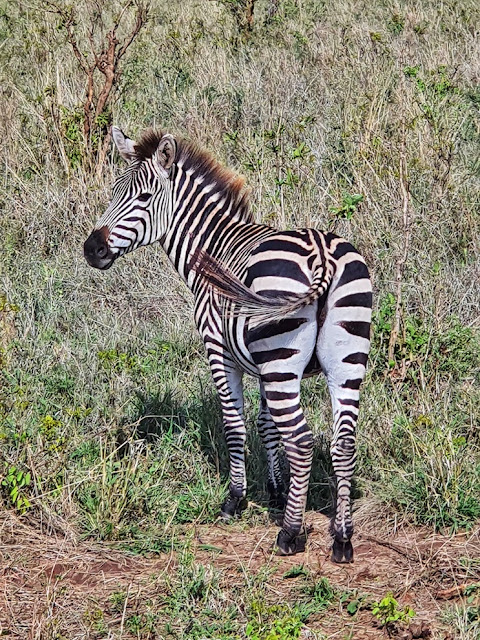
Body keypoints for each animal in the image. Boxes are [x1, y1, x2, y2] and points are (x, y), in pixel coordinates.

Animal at [84, 127, 374, 564]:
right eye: (114, 192)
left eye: (144, 198)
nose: (92, 249)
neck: (212, 249)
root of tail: (322, 254)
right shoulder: (260, 364)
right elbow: (266, 425)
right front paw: (276, 493)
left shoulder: (220, 350)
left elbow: (235, 425)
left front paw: (236, 499)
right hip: (342, 360)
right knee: (343, 444)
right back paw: (341, 538)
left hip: (284, 358)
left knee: (302, 441)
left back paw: (290, 535)